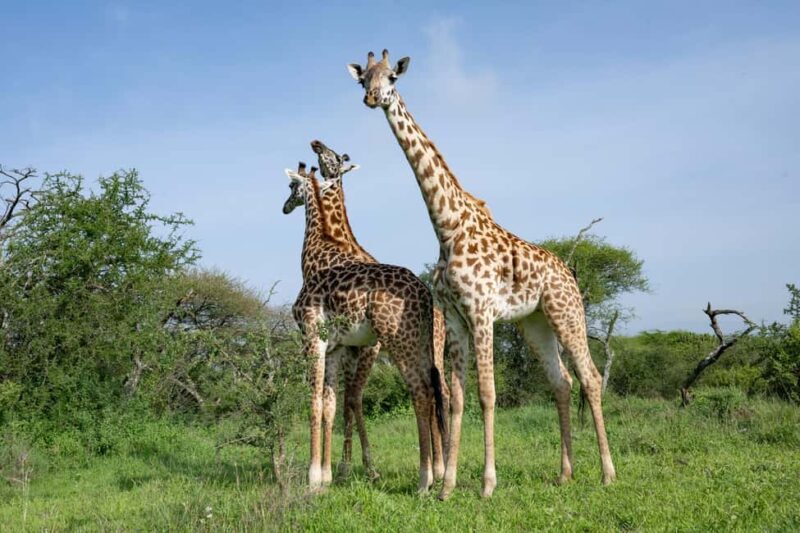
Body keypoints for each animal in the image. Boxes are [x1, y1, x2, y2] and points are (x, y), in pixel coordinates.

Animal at [282, 161, 446, 493]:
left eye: (291, 187)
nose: (284, 207)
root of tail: (425, 295)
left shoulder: (314, 338)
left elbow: (318, 402)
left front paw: (314, 477)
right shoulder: (335, 347)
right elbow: (330, 404)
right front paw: (327, 476)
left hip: (398, 341)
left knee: (421, 391)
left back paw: (425, 480)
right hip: (423, 346)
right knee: (438, 391)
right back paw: (439, 471)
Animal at [347, 50, 616, 499]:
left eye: (392, 78)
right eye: (363, 78)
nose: (371, 98)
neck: (447, 226)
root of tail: (570, 272)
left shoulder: (482, 312)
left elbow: (488, 394)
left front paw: (488, 484)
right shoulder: (456, 318)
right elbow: (456, 397)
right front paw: (446, 486)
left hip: (566, 312)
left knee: (592, 378)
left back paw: (608, 473)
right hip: (535, 322)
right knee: (561, 382)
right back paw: (565, 474)